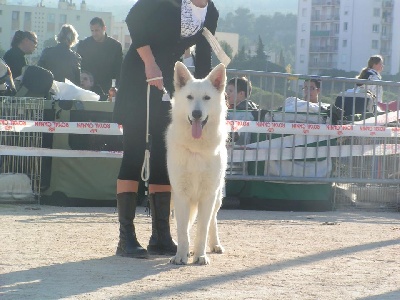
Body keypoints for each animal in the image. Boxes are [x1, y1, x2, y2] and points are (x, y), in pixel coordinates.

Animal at [166, 61, 228, 264]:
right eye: (190, 97)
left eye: (207, 98)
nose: (197, 114)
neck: (196, 150)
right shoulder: (180, 195)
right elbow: (182, 229)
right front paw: (181, 255)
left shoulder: (208, 195)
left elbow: (202, 229)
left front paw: (200, 255)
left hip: (217, 197)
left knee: (212, 221)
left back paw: (215, 245)